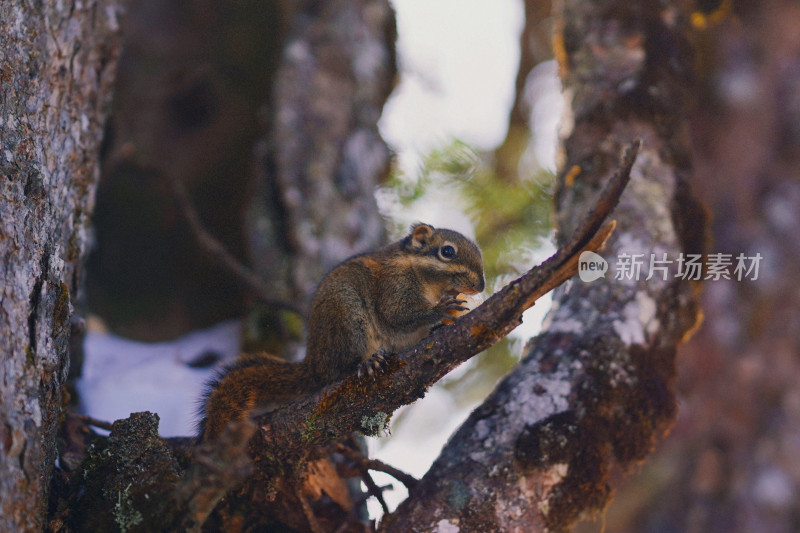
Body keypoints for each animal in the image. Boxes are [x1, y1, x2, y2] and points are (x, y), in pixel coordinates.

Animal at [198, 221, 488, 440]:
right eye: (447, 251)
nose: (481, 286)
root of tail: (314, 363)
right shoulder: (394, 285)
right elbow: (398, 314)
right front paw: (440, 311)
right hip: (347, 315)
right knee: (343, 366)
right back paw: (367, 363)